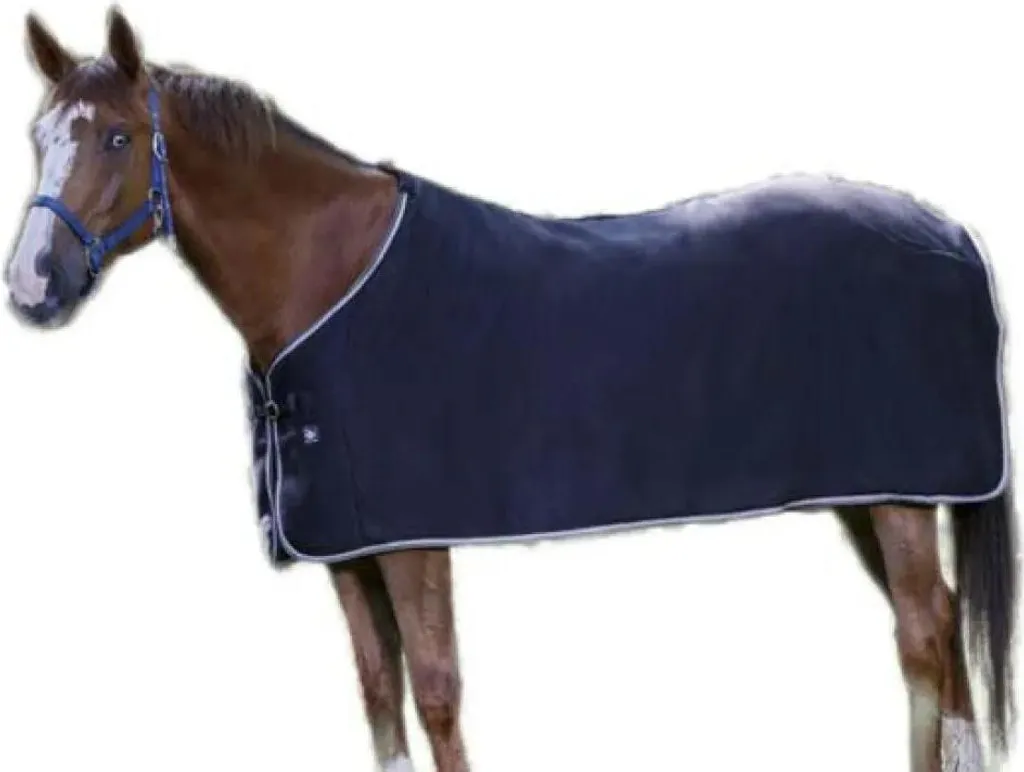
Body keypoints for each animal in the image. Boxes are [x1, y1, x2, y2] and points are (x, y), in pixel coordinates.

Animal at [4, 9, 1017, 772]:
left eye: (120, 137)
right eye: (39, 137)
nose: (31, 286)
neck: (330, 280)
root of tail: (953, 234)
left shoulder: (413, 545)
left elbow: (436, 693)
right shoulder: (347, 552)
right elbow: (380, 695)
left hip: (899, 497)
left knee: (925, 635)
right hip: (870, 497)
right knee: (936, 638)